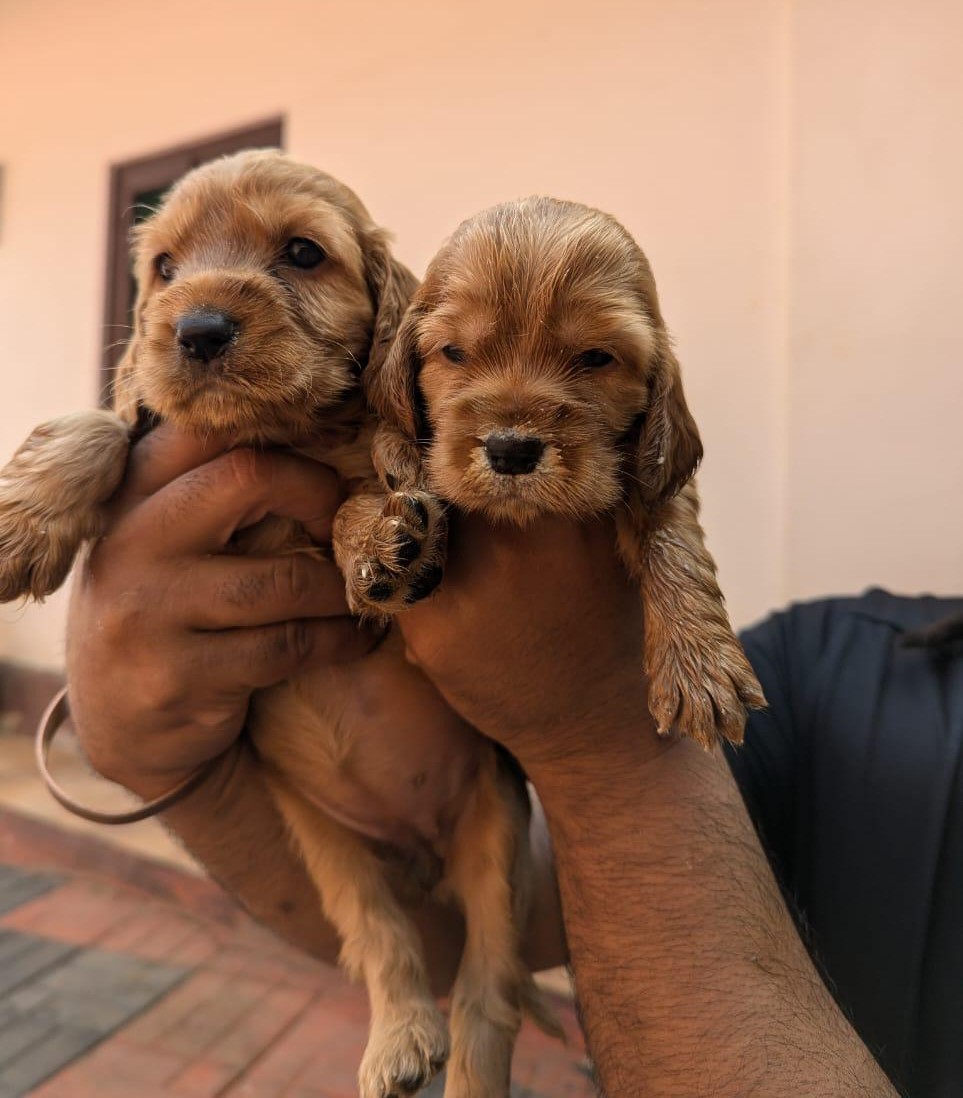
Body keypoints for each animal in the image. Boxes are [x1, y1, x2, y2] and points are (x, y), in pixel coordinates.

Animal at [0, 154, 555, 1098]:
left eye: (301, 252)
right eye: (163, 270)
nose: (197, 330)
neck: (279, 432)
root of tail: (418, 846)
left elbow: (370, 486)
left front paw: (378, 536)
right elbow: (107, 420)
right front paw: (26, 520)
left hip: (495, 839)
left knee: (489, 993)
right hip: (333, 850)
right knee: (382, 940)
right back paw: (399, 1038)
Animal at [353, 197, 768, 751]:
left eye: (595, 357)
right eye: (454, 352)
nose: (510, 451)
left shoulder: (654, 473)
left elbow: (671, 530)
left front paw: (698, 663)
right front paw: (384, 533)